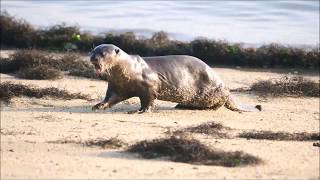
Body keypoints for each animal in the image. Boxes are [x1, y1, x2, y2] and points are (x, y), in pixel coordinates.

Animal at [89, 43, 262, 113]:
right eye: (92, 51)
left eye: (102, 53)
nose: (93, 58)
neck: (130, 70)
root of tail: (224, 85)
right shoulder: (116, 86)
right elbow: (110, 98)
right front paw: (99, 105)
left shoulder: (149, 85)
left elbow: (148, 100)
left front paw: (141, 110)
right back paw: (181, 105)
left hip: (214, 91)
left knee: (219, 103)